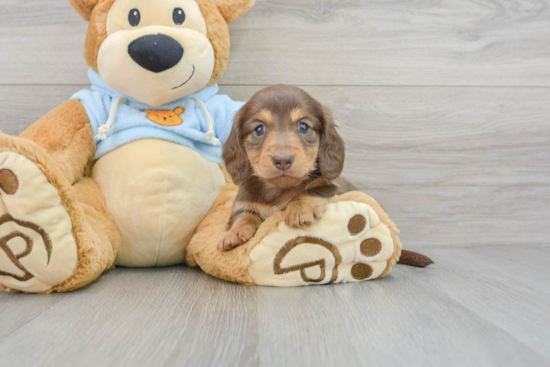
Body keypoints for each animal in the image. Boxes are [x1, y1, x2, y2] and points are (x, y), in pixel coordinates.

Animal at [221, 85, 358, 253]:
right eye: (259, 129)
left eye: (303, 126)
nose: (283, 160)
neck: (278, 189)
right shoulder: (245, 201)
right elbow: (244, 213)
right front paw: (233, 232)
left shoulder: (336, 189)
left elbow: (309, 191)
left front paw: (299, 209)